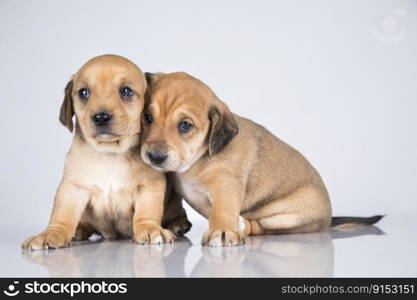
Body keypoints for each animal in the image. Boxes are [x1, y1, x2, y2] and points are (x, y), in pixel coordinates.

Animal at [21, 54, 176, 251]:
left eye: (126, 91)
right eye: (83, 93)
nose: (101, 117)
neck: (109, 154)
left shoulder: (149, 186)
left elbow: (146, 212)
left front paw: (150, 228)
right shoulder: (73, 188)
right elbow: (62, 215)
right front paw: (52, 233)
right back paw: (78, 231)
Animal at [141, 72, 384, 246]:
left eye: (185, 125)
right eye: (148, 117)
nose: (154, 156)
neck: (198, 160)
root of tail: (328, 218)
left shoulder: (226, 185)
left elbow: (223, 209)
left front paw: (222, 230)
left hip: (291, 214)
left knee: (260, 227)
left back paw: (240, 225)